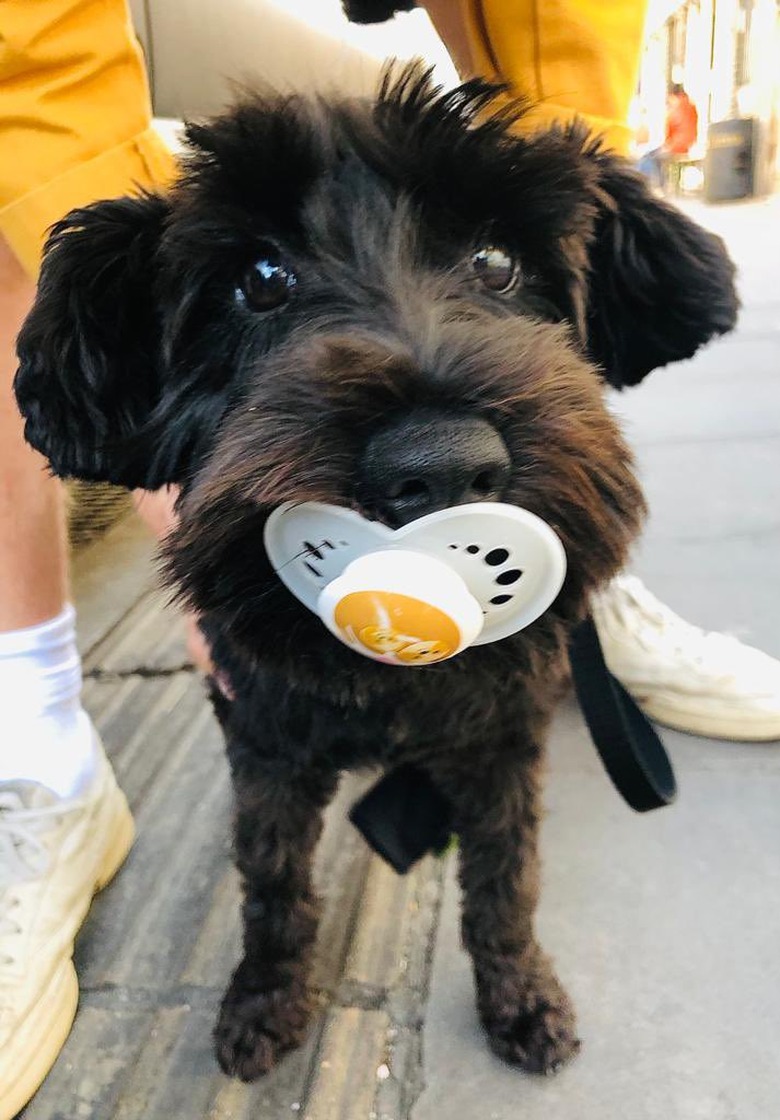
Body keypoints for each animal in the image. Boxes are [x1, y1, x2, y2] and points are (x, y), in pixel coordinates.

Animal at [13, 67, 735, 1075]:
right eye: (260, 281)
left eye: (497, 262)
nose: (439, 463)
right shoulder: (265, 745)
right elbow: (274, 878)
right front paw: (265, 999)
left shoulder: (499, 745)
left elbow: (506, 875)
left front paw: (520, 995)